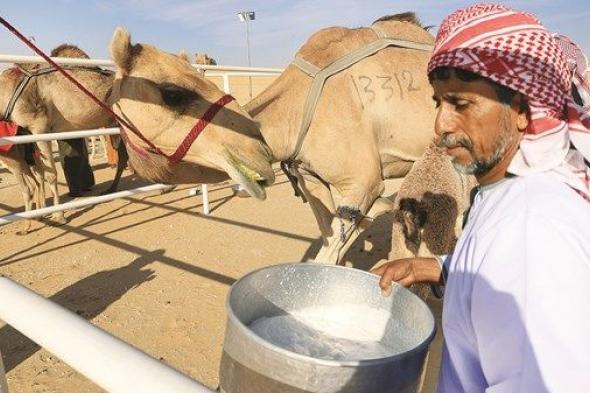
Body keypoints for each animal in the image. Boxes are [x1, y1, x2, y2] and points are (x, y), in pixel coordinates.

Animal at [0, 44, 125, 230]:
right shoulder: (28, 133)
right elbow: (40, 173)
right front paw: (41, 214)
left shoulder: (40, 128)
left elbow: (51, 174)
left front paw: (58, 216)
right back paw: (112, 189)